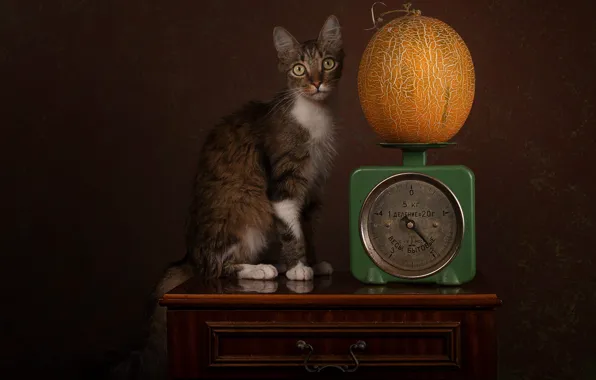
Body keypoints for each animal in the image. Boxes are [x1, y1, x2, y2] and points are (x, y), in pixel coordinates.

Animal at [110, 14, 344, 380]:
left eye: (328, 64)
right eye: (299, 69)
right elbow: (292, 232)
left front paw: (310, 263)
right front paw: (298, 268)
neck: (313, 116)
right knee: (217, 268)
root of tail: (188, 255)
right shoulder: (283, 185)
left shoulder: (312, 189)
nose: (317, 84)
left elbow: (305, 229)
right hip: (244, 211)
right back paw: (262, 270)